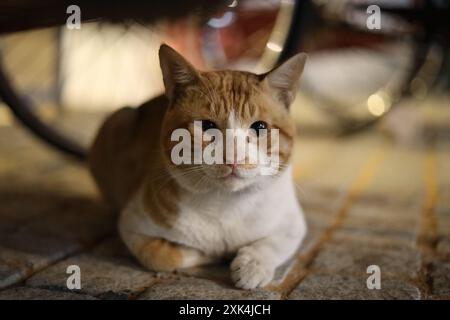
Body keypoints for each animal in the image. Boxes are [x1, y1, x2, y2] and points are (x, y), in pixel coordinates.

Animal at [90, 43, 310, 288]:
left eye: (259, 127)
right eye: (207, 126)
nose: (232, 156)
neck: (226, 204)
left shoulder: (293, 224)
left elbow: (273, 244)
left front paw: (253, 265)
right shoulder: (131, 223)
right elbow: (162, 256)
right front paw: (209, 254)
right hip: (118, 119)